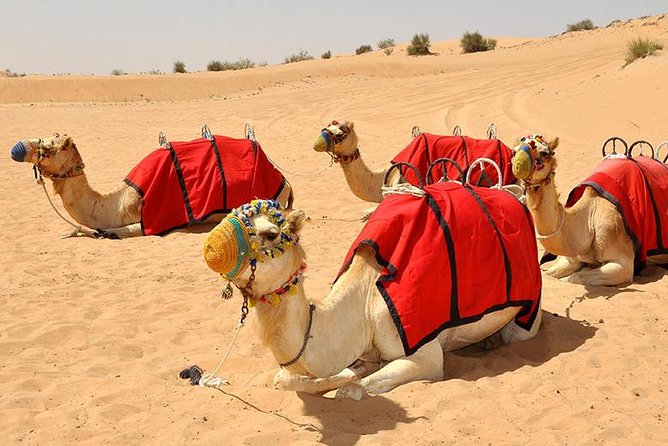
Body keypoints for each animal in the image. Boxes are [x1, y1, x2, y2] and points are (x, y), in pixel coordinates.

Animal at [10, 131, 293, 239]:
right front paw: (70, 232)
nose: (17, 148)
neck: (119, 202)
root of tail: (284, 180)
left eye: (49, 147)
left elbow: (108, 232)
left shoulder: (149, 222)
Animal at [202, 193, 542, 400]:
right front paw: (351, 371)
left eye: (271, 234)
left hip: (529, 308)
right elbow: (284, 379)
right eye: (231, 215)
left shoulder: (425, 353)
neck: (363, 303)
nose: (212, 247)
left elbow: (351, 390)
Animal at [510, 135, 668, 286]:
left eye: (544, 153)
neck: (590, 219)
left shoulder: (623, 264)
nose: (518, 166)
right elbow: (551, 274)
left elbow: (575, 277)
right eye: (514, 151)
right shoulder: (570, 257)